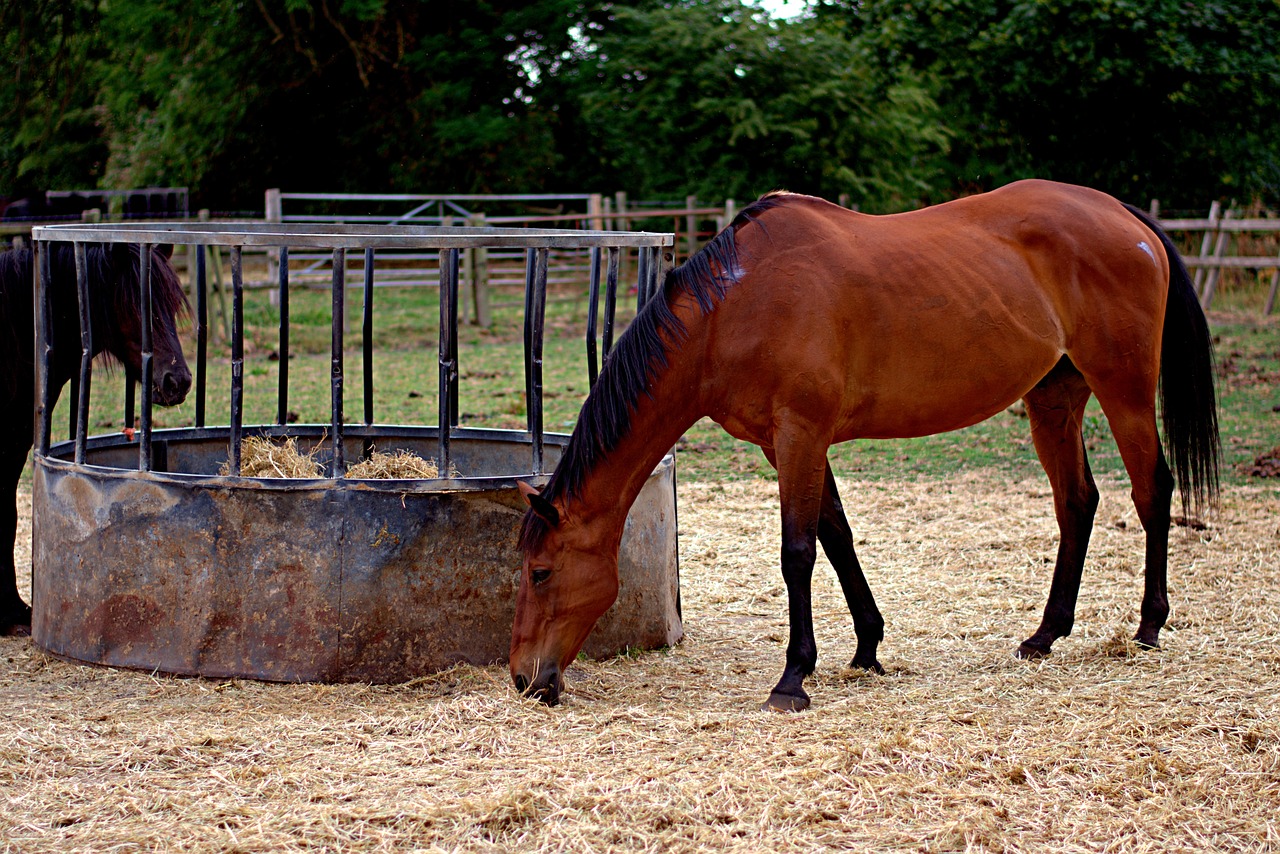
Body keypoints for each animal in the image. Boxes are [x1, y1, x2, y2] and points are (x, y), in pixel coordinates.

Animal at [509, 181, 1218, 717]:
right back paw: (1045, 635)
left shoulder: (800, 433)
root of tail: (1123, 214)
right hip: (1054, 399)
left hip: (1124, 389)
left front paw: (793, 679)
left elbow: (798, 552)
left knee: (1152, 490)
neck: (734, 307)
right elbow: (837, 536)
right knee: (1077, 502)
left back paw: (1149, 625)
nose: (524, 678)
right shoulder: (787, 444)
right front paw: (866, 649)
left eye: (540, 572)